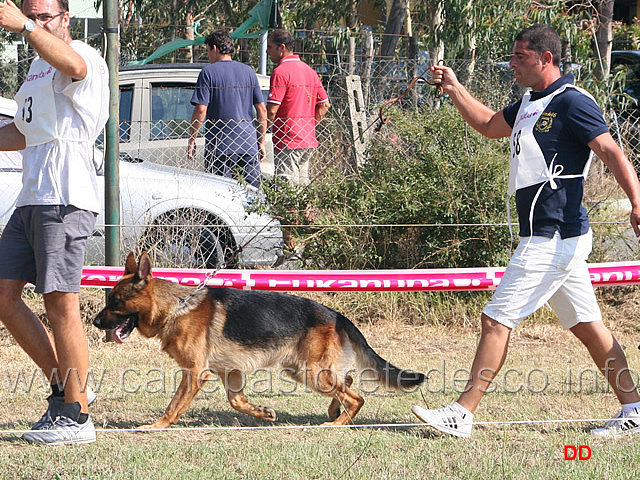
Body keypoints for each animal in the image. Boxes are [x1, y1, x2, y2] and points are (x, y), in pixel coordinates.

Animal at [94, 253, 424, 430]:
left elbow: (174, 405)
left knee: (356, 396)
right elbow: (236, 401)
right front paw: (263, 413)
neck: (176, 306)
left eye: (116, 302)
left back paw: (338, 423)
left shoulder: (195, 373)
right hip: (304, 370)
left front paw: (156, 427)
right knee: (349, 382)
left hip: (311, 372)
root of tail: (337, 315)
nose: (96, 323)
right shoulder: (229, 372)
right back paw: (335, 412)